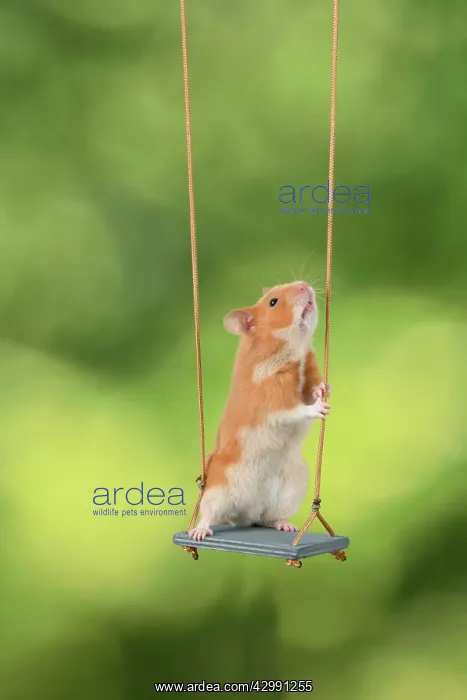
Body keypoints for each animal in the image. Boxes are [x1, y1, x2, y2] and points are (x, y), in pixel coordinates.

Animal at [188, 281, 330, 541]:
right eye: (273, 302)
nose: (303, 285)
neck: (294, 349)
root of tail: (245, 514)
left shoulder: (308, 367)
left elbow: (312, 388)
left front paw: (324, 389)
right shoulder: (272, 397)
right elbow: (296, 409)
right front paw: (320, 407)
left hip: (292, 489)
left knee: (269, 519)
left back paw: (286, 526)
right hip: (217, 491)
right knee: (209, 514)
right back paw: (199, 532)